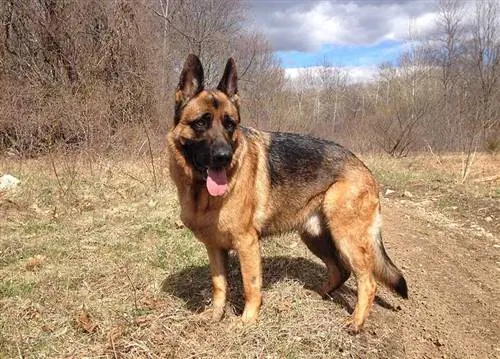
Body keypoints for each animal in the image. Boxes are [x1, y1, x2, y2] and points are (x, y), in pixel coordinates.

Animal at [166, 54, 408, 334]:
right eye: (201, 123)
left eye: (230, 125)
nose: (224, 157)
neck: (200, 191)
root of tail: (364, 168)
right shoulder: (215, 248)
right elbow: (219, 285)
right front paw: (215, 316)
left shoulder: (247, 244)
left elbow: (251, 286)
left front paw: (247, 322)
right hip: (315, 237)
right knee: (339, 271)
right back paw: (318, 295)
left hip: (346, 238)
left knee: (367, 281)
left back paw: (356, 322)